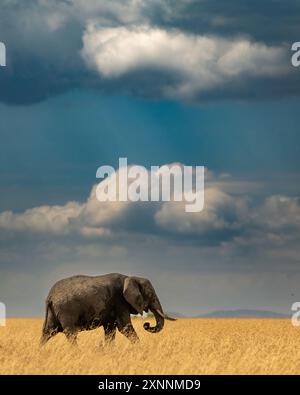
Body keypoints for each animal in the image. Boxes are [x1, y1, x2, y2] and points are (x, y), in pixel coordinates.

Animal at [40, 272, 176, 346]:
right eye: (151, 295)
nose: (146, 324)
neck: (130, 277)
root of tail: (50, 296)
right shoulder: (119, 301)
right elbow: (124, 327)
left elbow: (110, 330)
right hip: (66, 310)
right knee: (71, 333)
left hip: (54, 311)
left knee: (47, 332)